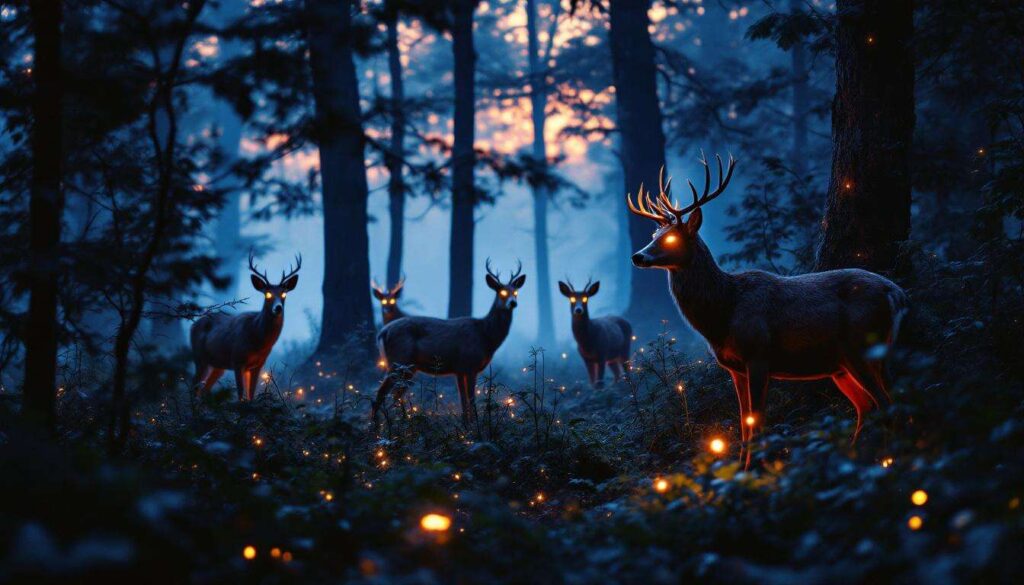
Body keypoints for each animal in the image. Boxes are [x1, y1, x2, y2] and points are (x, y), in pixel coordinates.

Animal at [190, 252, 302, 401]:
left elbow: (251, 395)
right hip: (199, 357)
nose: (277, 308)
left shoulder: (258, 365)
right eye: (267, 294)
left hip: (218, 365)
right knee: (193, 387)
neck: (257, 338)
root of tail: (193, 324)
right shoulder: (237, 360)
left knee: (203, 390)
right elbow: (240, 395)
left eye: (284, 294)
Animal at [371, 260, 526, 428]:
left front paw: (466, 425)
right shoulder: (470, 365)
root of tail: (383, 332)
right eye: (502, 292)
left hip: (408, 368)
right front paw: (475, 426)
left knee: (394, 394)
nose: (513, 303)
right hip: (399, 360)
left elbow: (463, 400)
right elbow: (471, 399)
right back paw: (377, 427)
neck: (485, 336)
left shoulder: (459, 369)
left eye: (516, 292)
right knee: (381, 393)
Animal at [626, 153, 908, 468]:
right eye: (655, 234)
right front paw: (742, 468)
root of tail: (896, 293)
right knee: (874, 405)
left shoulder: (759, 355)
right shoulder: (735, 368)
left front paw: (755, 468)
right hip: (845, 364)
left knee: (884, 405)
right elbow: (743, 422)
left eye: (672, 239)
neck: (723, 312)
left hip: (860, 347)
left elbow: (758, 421)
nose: (637, 256)